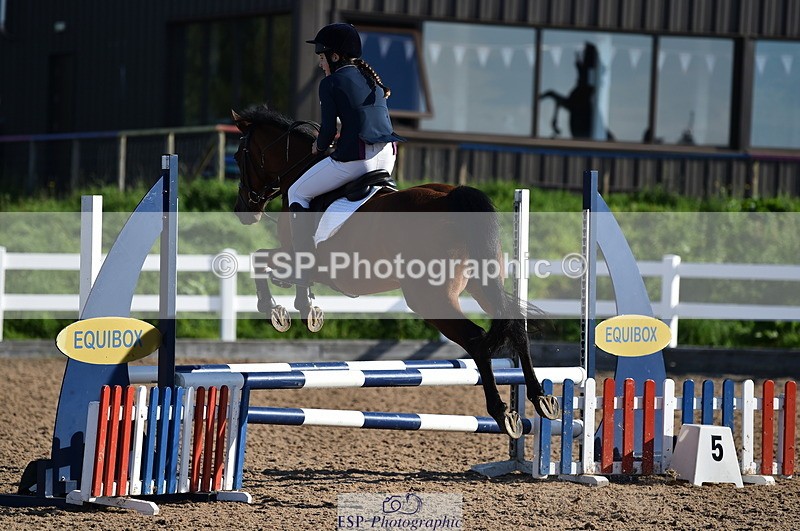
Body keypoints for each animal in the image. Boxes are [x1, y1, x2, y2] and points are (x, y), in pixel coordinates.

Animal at [230, 104, 559, 438]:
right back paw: (541, 398)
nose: (243, 211)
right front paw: (307, 308)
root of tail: (452, 197)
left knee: (476, 339)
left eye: (238, 155)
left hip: (429, 298)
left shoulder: (295, 254)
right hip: (481, 284)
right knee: (516, 327)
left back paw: (502, 412)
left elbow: (259, 260)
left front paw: (277, 310)